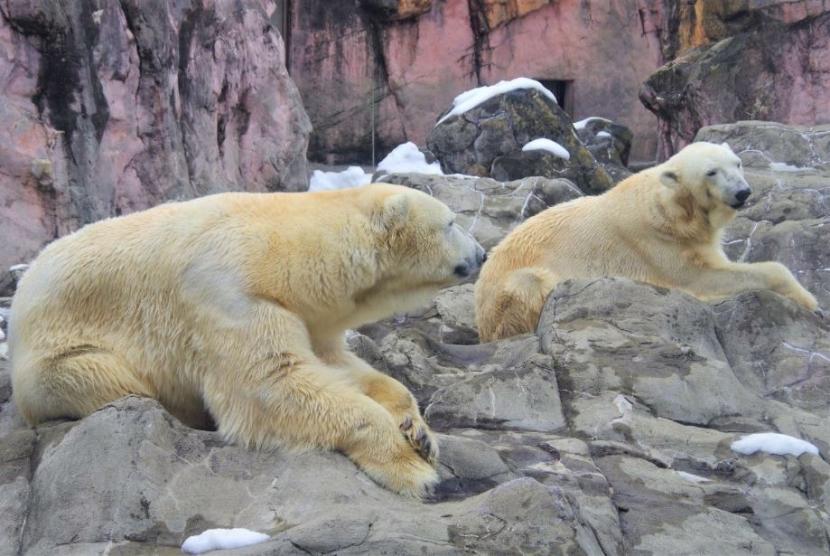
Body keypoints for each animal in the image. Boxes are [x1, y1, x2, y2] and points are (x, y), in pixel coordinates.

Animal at [9, 185, 484, 498]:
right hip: (59, 355)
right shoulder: (229, 295)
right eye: (451, 222)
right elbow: (271, 385)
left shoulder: (307, 314)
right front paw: (411, 469)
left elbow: (336, 364)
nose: (481, 253)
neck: (282, 252)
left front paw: (419, 433)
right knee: (109, 377)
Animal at [478, 141, 824, 340]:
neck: (674, 210)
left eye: (736, 163)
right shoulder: (657, 243)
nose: (742, 192)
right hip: (508, 292)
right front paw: (813, 303)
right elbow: (702, 278)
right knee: (528, 284)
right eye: (711, 172)